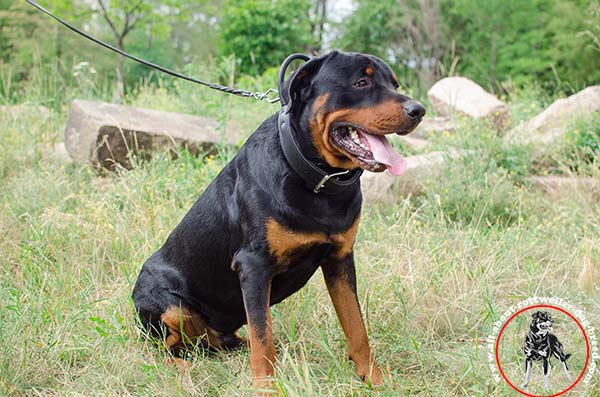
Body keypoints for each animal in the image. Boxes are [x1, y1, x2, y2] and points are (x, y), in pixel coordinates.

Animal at [132, 50, 422, 390]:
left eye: (394, 84)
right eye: (361, 82)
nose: (418, 110)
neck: (314, 179)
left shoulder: (340, 258)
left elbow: (356, 327)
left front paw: (373, 377)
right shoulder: (253, 265)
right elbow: (262, 337)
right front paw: (265, 387)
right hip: (168, 305)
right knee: (161, 347)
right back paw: (181, 367)